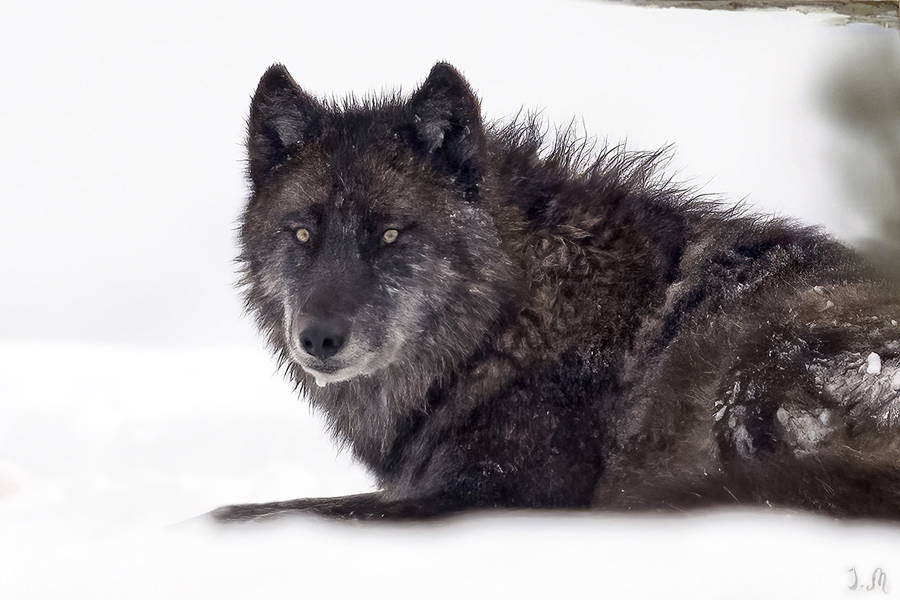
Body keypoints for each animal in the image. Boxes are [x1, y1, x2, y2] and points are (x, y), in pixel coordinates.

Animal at [213, 62, 900, 522]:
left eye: (389, 233)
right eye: (302, 232)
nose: (319, 339)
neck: (512, 319)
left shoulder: (501, 493)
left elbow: (278, 509)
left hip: (758, 366)